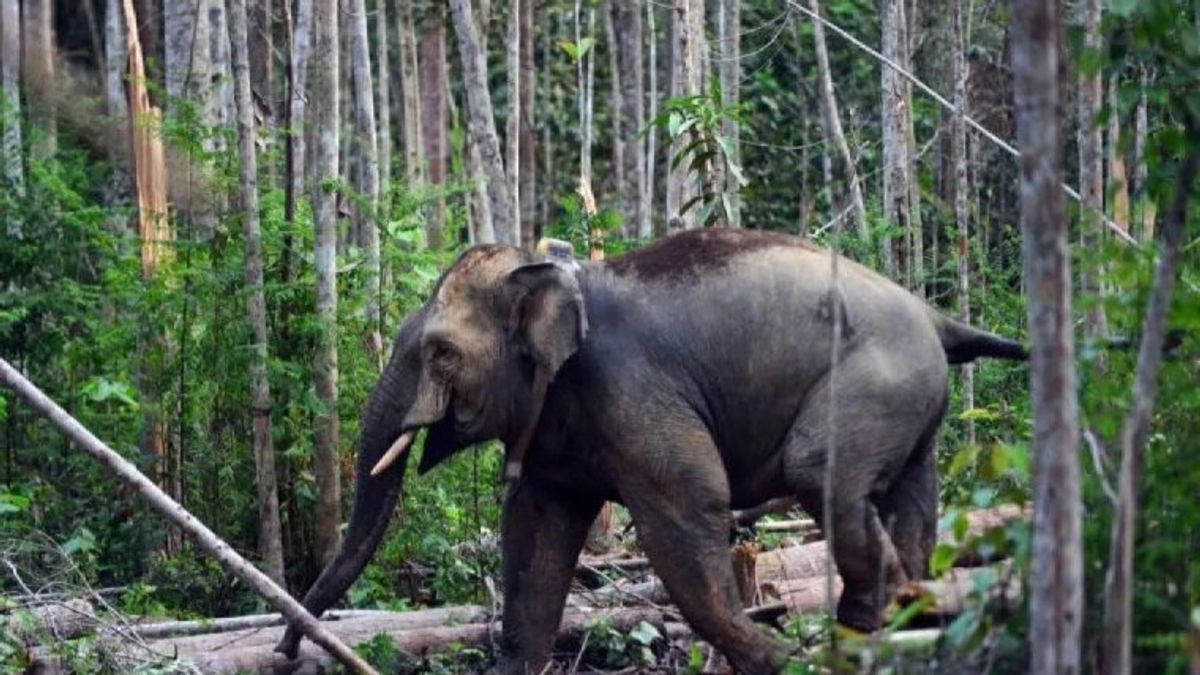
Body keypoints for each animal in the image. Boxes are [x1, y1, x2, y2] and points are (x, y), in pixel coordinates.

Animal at [276, 228, 1027, 667]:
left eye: (440, 352)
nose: (286, 649)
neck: (558, 277)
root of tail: (936, 317)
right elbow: (535, 533)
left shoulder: (631, 389)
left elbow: (689, 507)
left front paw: (775, 656)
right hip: (916, 402)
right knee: (911, 498)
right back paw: (910, 615)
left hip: (878, 380)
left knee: (823, 474)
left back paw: (864, 632)